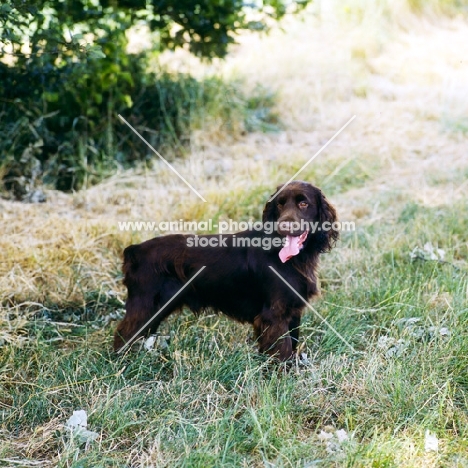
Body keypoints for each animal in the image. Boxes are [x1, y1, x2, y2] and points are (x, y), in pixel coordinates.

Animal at [114, 181, 338, 360]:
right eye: (280, 204)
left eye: (303, 203)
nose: (284, 226)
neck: (292, 257)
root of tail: (135, 250)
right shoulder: (274, 315)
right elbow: (282, 350)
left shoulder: (291, 311)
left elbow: (292, 342)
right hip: (145, 305)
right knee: (122, 335)